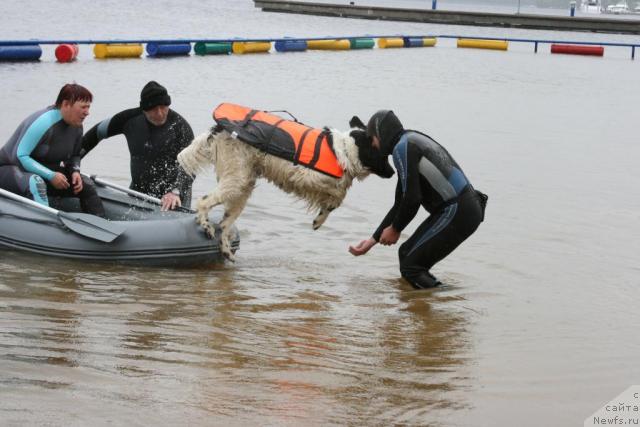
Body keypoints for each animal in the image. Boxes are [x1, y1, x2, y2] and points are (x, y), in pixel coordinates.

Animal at [178, 107, 392, 260]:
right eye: (383, 156)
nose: (393, 172)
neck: (346, 150)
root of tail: (219, 128)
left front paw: (320, 216)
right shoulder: (307, 177)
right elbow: (339, 194)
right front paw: (319, 219)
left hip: (243, 187)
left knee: (224, 224)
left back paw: (225, 250)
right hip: (236, 180)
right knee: (204, 202)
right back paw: (206, 225)